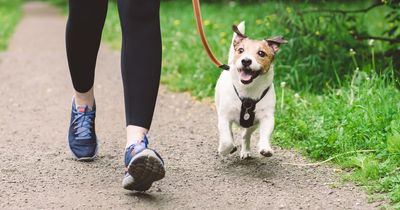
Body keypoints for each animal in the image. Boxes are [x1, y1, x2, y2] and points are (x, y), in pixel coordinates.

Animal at [216, 21, 288, 159]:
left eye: (261, 53)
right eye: (241, 50)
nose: (246, 61)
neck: (248, 90)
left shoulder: (267, 117)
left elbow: (265, 134)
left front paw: (265, 148)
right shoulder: (224, 116)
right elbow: (227, 140)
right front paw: (224, 149)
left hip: (252, 124)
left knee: (246, 135)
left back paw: (245, 150)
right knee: (230, 134)